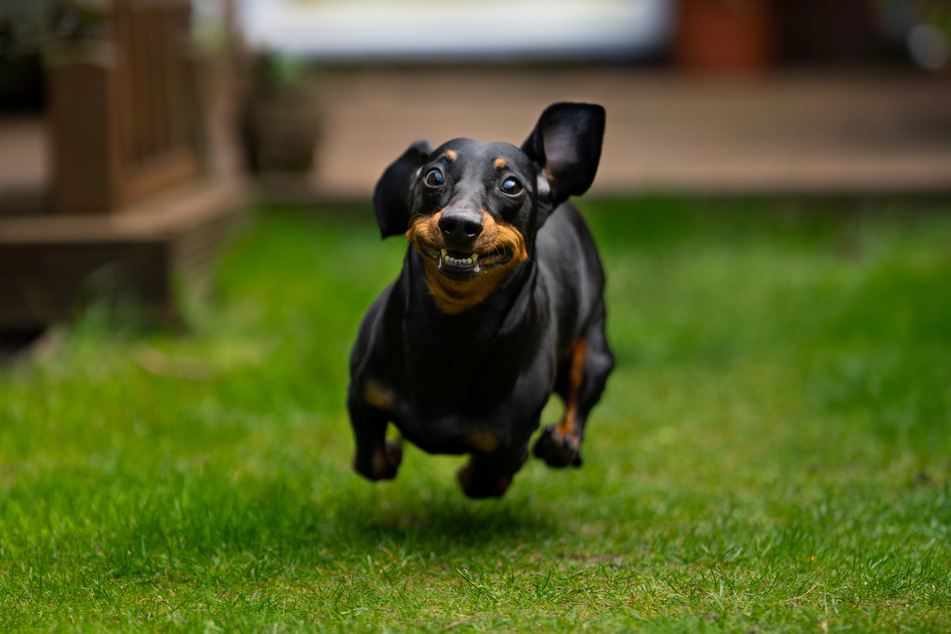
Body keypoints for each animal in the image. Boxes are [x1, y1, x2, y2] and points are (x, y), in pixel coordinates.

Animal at [346, 101, 612, 496]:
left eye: (512, 185)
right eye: (433, 177)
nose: (459, 223)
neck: (451, 329)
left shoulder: (511, 438)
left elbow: (485, 478)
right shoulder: (363, 398)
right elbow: (372, 460)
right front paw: (390, 452)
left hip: (595, 352)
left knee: (579, 404)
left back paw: (562, 443)